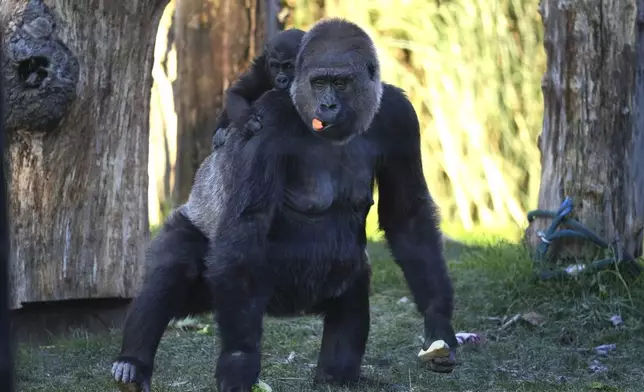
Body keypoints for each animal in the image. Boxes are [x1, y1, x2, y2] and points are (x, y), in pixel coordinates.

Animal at [112, 17, 458, 392]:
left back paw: (336, 374)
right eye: (319, 82)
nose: (328, 107)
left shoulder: (399, 118)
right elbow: (247, 221)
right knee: (175, 267)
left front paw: (438, 322)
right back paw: (132, 362)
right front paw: (239, 358)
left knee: (350, 297)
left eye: (340, 83)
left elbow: (407, 217)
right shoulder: (268, 116)